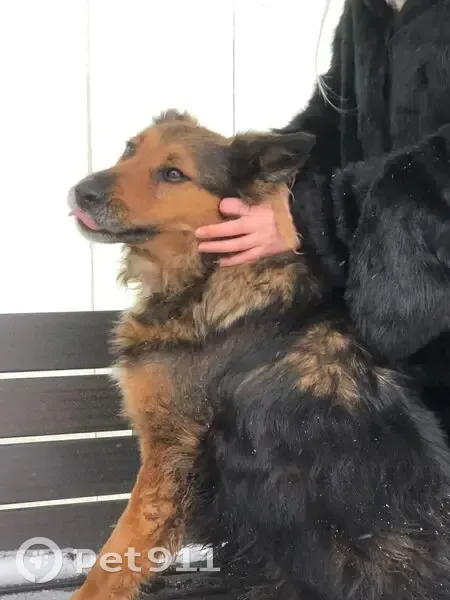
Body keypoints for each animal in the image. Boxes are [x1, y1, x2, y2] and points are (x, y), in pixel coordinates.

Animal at [68, 110, 450, 600]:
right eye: (130, 149)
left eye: (173, 174)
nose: (81, 192)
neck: (210, 276)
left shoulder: (168, 455)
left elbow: (115, 557)